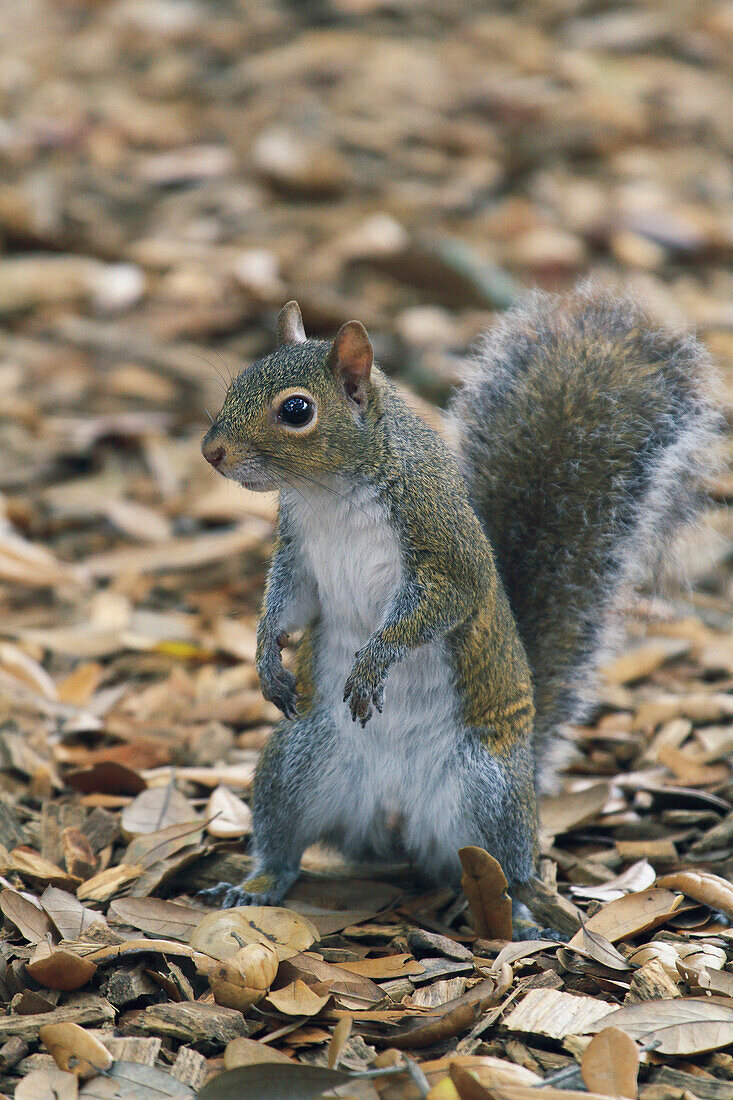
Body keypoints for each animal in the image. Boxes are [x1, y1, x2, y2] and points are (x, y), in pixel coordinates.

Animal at [198, 286, 713, 937]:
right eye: (237, 381)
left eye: (296, 410)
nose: (212, 452)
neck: (329, 494)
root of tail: (394, 821)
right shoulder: (299, 551)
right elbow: (289, 603)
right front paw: (267, 656)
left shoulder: (443, 547)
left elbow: (440, 605)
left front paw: (375, 659)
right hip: (294, 766)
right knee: (282, 848)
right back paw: (254, 885)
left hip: (486, 795)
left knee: (508, 873)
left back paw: (523, 922)